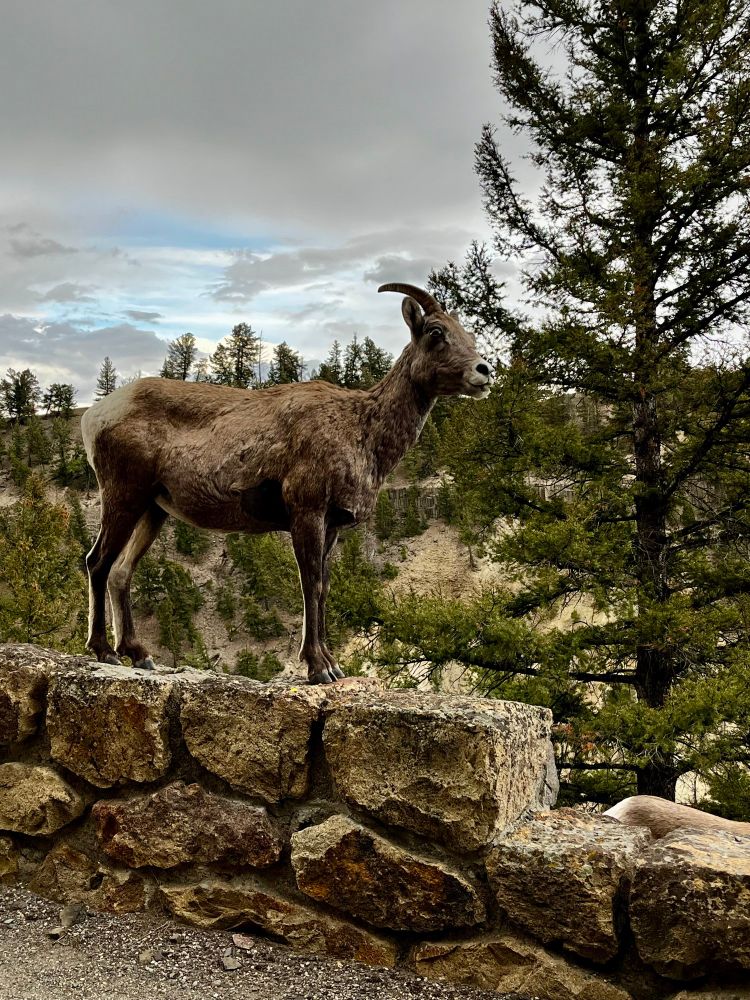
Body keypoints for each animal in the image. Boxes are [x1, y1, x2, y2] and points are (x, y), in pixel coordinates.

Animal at [80, 283, 492, 683]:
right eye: (436, 332)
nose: (484, 371)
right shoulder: (306, 511)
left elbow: (323, 589)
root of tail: (93, 417)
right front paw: (318, 668)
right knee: (97, 562)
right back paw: (103, 651)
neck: (364, 434)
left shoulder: (332, 525)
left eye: (468, 334)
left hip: (154, 509)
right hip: (123, 495)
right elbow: (310, 585)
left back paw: (139, 655)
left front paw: (333, 666)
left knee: (121, 572)